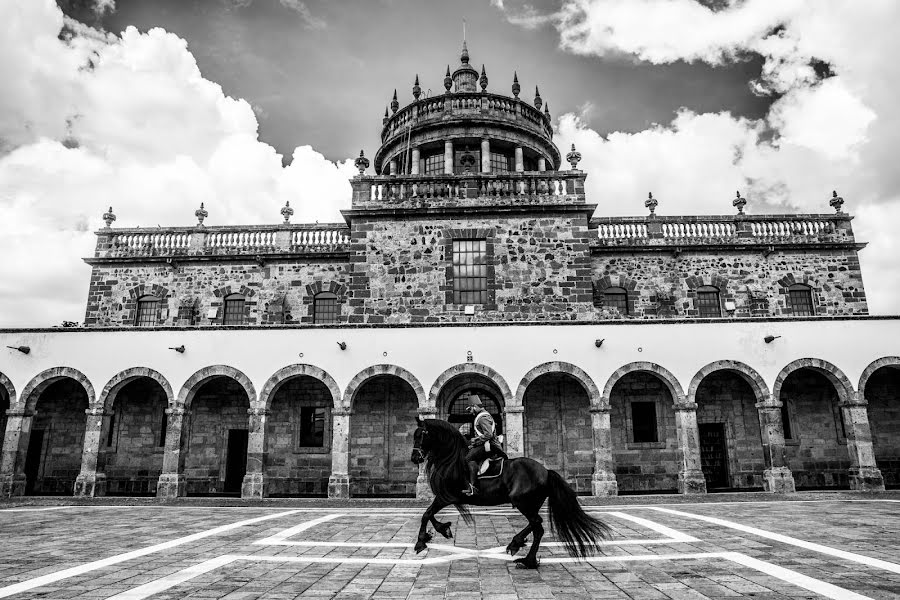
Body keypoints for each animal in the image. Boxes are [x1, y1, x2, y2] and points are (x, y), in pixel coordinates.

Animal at [410, 418, 612, 568]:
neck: (452, 460)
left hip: (523, 501)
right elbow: (429, 514)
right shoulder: (446, 497)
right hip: (530, 503)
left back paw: (524, 555)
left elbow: (426, 513)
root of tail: (546, 471)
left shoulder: (446, 496)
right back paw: (521, 550)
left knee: (538, 526)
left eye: (422, 434)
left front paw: (421, 542)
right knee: (536, 525)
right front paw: (442, 529)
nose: (414, 458)